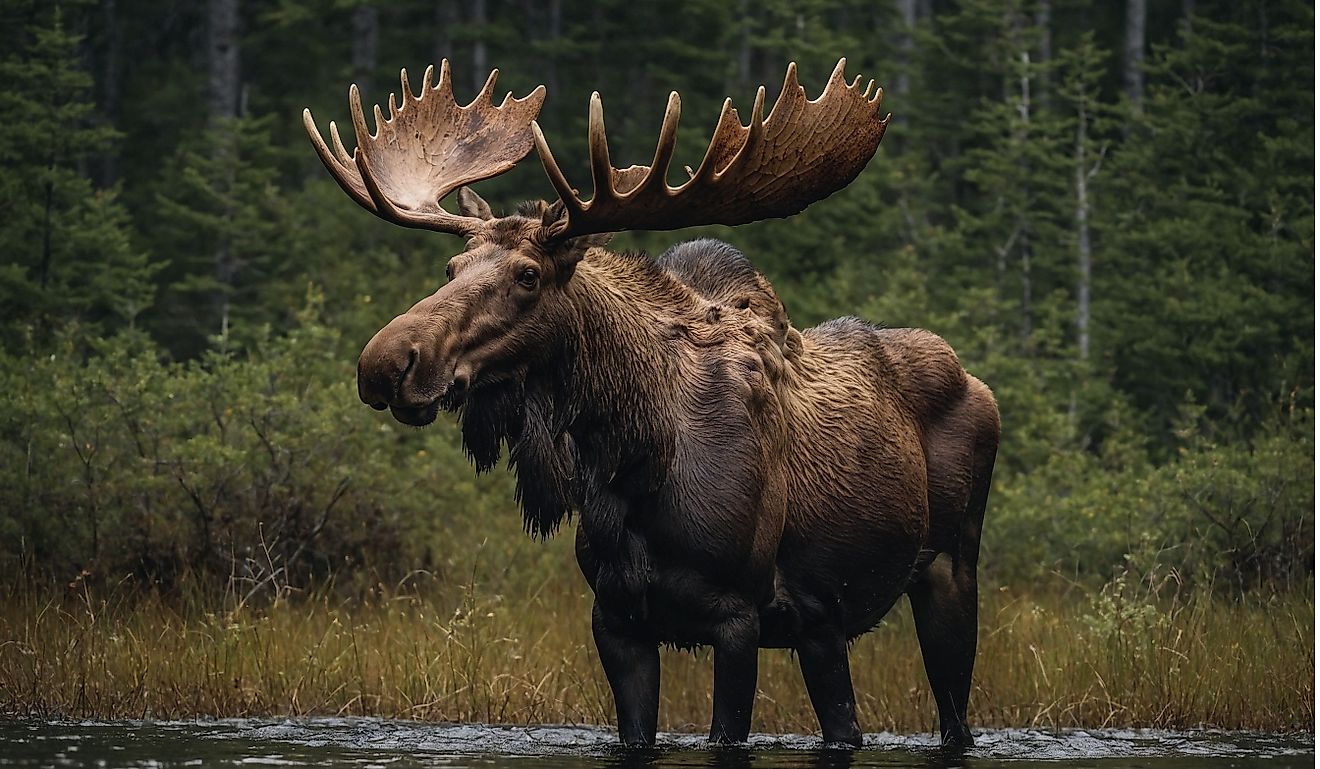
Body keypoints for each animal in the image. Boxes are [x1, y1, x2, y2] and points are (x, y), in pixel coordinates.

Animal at [302, 61, 997, 754]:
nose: (385, 363)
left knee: (954, 712)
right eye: (452, 266)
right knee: (844, 722)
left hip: (950, 571)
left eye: (528, 275)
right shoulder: (617, 617)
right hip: (821, 626)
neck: (632, 463)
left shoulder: (736, 616)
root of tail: (974, 381)